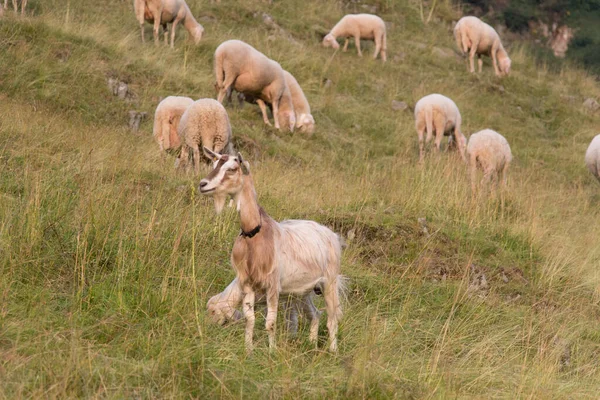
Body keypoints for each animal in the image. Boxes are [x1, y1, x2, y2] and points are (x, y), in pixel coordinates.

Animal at [199, 148, 344, 352]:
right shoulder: (248, 284)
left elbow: (270, 323)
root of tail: (331, 234)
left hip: (330, 281)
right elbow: (250, 320)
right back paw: (311, 344)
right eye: (214, 164)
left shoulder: (273, 286)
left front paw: (271, 351)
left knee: (332, 319)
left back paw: (332, 351)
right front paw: (248, 350)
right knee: (315, 314)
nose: (202, 184)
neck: (256, 234)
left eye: (232, 168)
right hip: (303, 291)